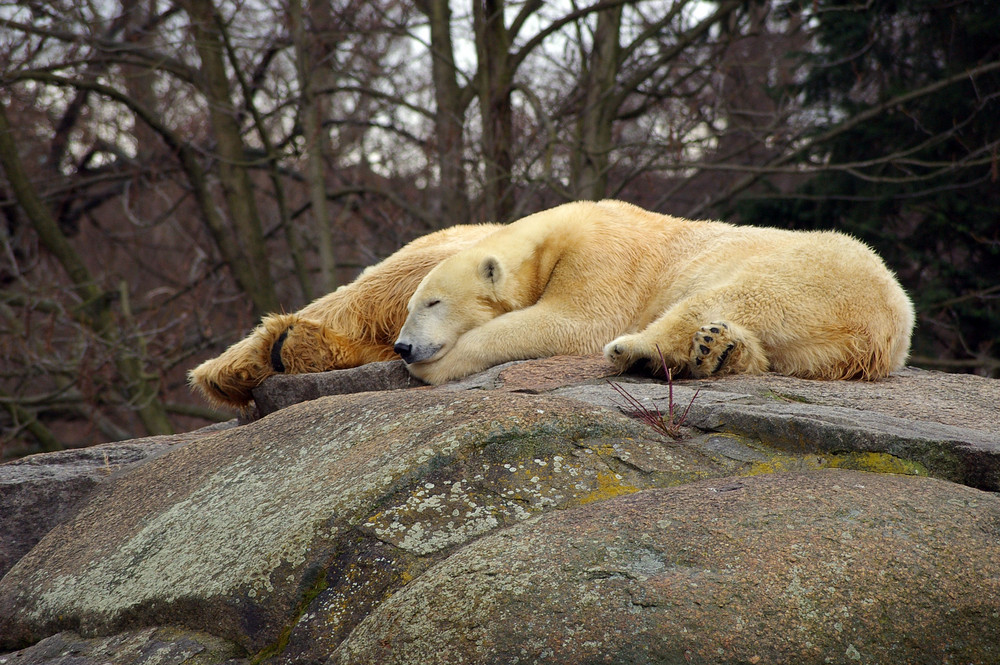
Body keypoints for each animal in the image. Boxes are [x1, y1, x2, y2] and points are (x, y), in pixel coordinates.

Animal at [390, 198, 916, 384]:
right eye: (410, 303)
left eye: (434, 302)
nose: (402, 346)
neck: (555, 237)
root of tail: (883, 328)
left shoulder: (602, 258)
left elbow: (573, 323)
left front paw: (437, 367)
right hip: (819, 340)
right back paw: (717, 350)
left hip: (803, 273)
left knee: (721, 298)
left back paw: (636, 350)